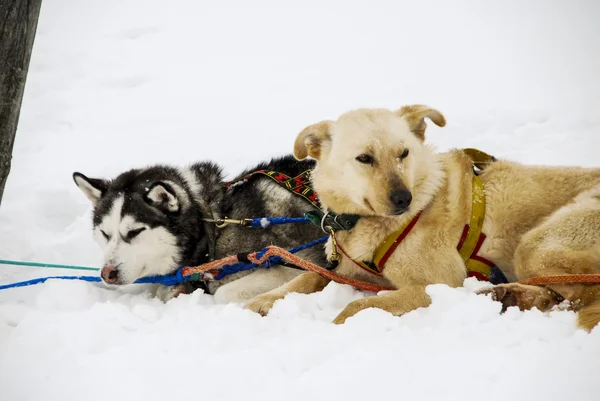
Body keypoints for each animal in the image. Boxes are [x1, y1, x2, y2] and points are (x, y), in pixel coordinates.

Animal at [243, 104, 600, 330]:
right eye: (364, 158)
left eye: (404, 153)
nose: (404, 198)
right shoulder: (349, 270)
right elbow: (307, 277)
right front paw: (262, 301)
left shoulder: (438, 284)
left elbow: (357, 305)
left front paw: (336, 326)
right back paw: (507, 294)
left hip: (536, 245)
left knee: (578, 296)